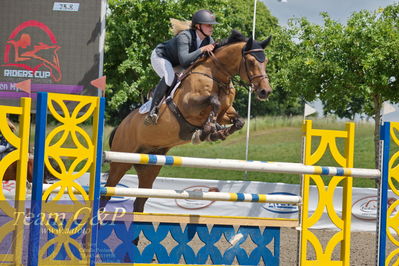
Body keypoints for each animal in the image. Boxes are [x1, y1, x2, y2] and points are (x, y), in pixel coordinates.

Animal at [101, 30, 274, 214]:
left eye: (266, 61)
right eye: (251, 61)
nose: (265, 91)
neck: (216, 75)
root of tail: (121, 126)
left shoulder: (225, 112)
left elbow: (238, 120)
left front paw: (217, 133)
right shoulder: (189, 106)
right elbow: (213, 101)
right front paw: (206, 131)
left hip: (150, 165)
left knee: (140, 201)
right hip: (121, 160)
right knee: (107, 192)